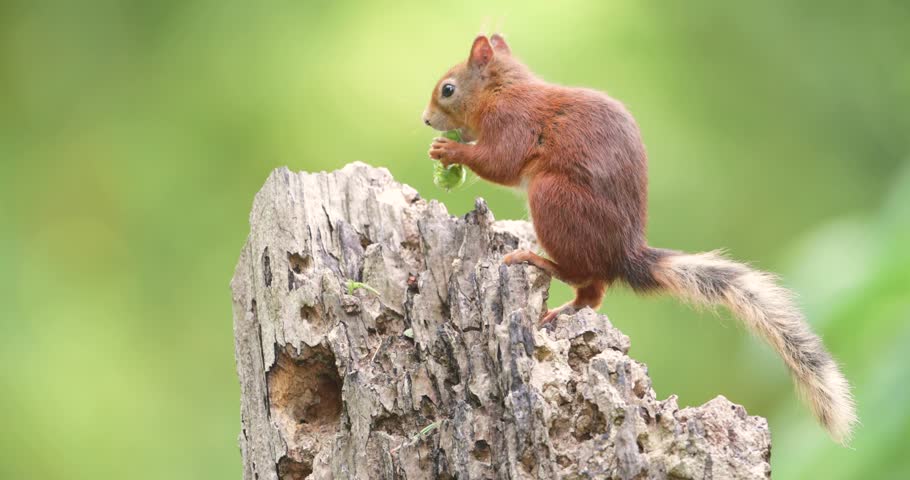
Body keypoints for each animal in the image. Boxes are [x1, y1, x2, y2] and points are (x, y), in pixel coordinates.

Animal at [422, 34, 857, 444]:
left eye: (448, 89)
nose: (426, 121)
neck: (503, 89)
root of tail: (624, 256)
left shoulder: (513, 122)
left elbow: (502, 162)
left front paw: (451, 151)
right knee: (592, 294)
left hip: (552, 198)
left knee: (585, 280)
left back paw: (537, 260)